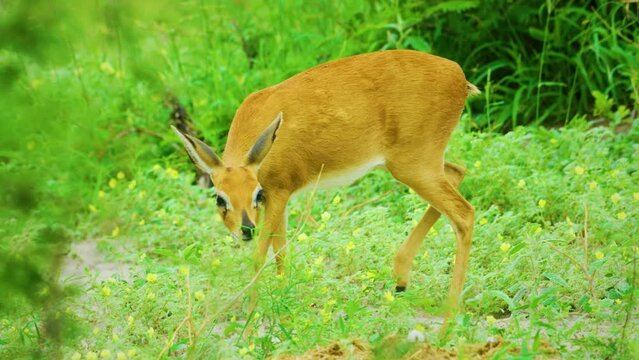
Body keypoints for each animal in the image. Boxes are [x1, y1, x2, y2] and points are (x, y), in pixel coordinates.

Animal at [172, 49, 482, 320]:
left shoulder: (278, 191)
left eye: (255, 194)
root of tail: (458, 76)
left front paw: (252, 320)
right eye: (220, 198)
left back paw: (449, 314)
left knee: (464, 213)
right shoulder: (279, 197)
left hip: (413, 167)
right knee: (458, 172)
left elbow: (261, 256)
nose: (246, 229)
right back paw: (400, 280)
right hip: (417, 165)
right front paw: (282, 303)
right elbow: (281, 251)